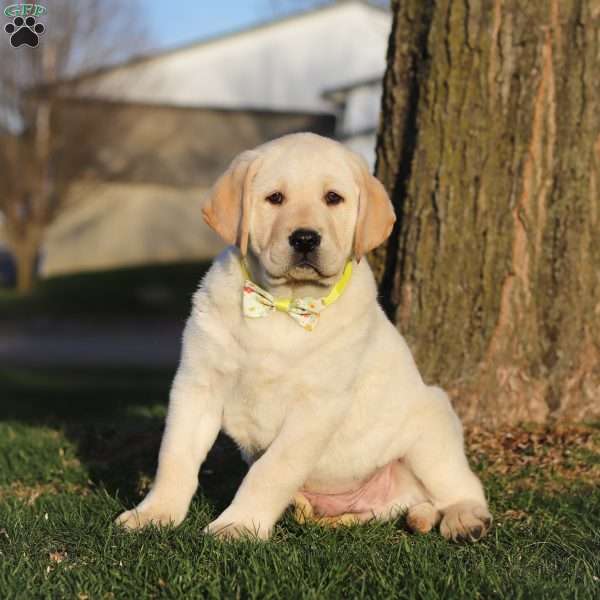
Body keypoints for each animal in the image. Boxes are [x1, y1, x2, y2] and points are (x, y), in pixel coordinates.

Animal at [117, 132, 492, 544]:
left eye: (333, 198)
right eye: (275, 198)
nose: (305, 238)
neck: (283, 306)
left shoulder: (317, 406)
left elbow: (272, 469)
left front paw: (239, 524)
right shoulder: (197, 384)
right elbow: (175, 456)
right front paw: (155, 513)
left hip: (431, 429)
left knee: (464, 487)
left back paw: (465, 519)